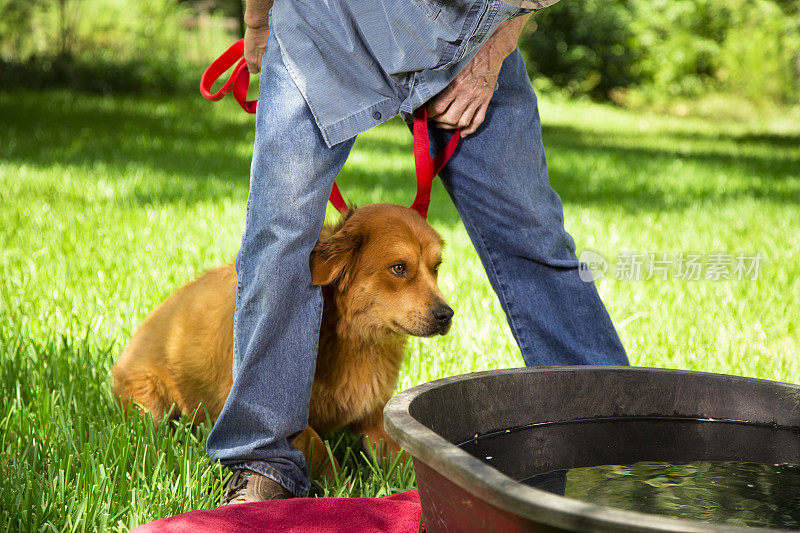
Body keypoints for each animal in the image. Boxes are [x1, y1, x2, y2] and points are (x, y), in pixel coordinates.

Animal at [112, 202, 454, 480]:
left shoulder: (374, 411)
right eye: (399, 268)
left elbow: (401, 452)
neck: (353, 335)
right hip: (151, 401)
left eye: (435, 267)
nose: (446, 315)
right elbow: (315, 445)